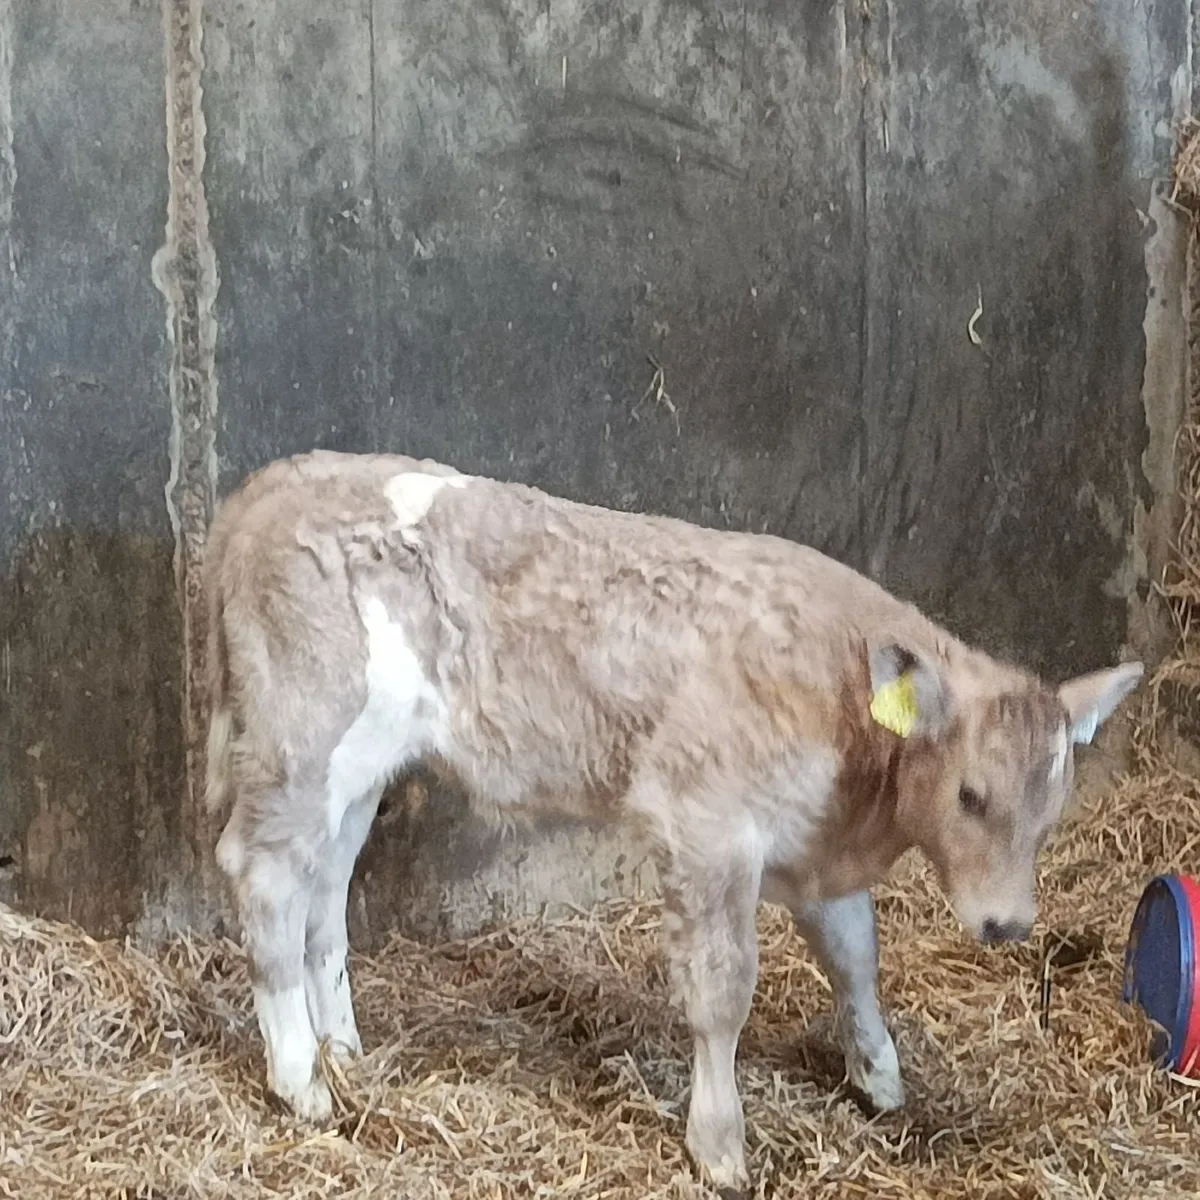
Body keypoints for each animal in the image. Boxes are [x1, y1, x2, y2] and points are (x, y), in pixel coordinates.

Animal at [204, 449, 1143, 1197]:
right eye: (971, 796)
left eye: (1052, 811)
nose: (1007, 925)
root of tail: (279, 480)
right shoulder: (708, 828)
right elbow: (722, 991)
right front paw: (719, 1145)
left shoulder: (811, 843)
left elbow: (855, 957)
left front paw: (879, 1075)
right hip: (301, 734)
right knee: (266, 873)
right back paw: (299, 1077)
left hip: (356, 771)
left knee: (325, 889)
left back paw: (342, 1048)